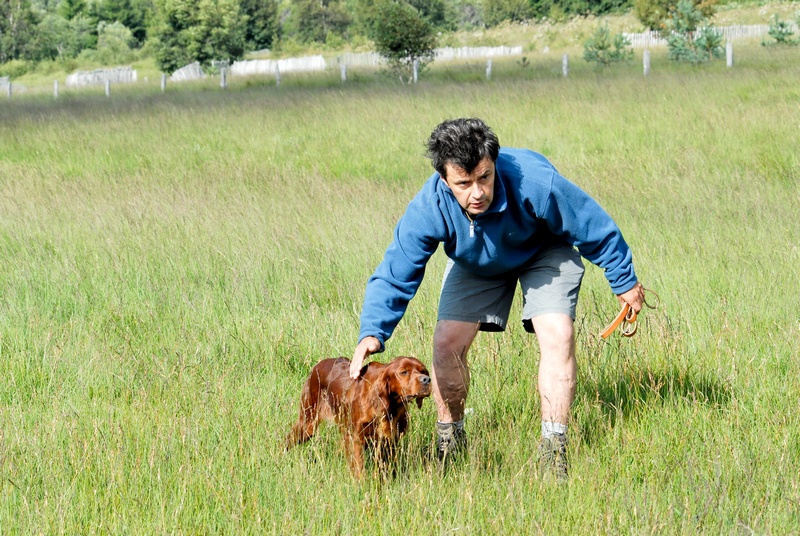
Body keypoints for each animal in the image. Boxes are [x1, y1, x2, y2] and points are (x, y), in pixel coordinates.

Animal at [282, 356, 428, 478]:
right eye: (404, 372)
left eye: (423, 371)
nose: (427, 380)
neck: (388, 404)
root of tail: (317, 365)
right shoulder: (356, 437)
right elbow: (359, 467)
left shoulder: (390, 440)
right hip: (308, 423)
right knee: (287, 440)